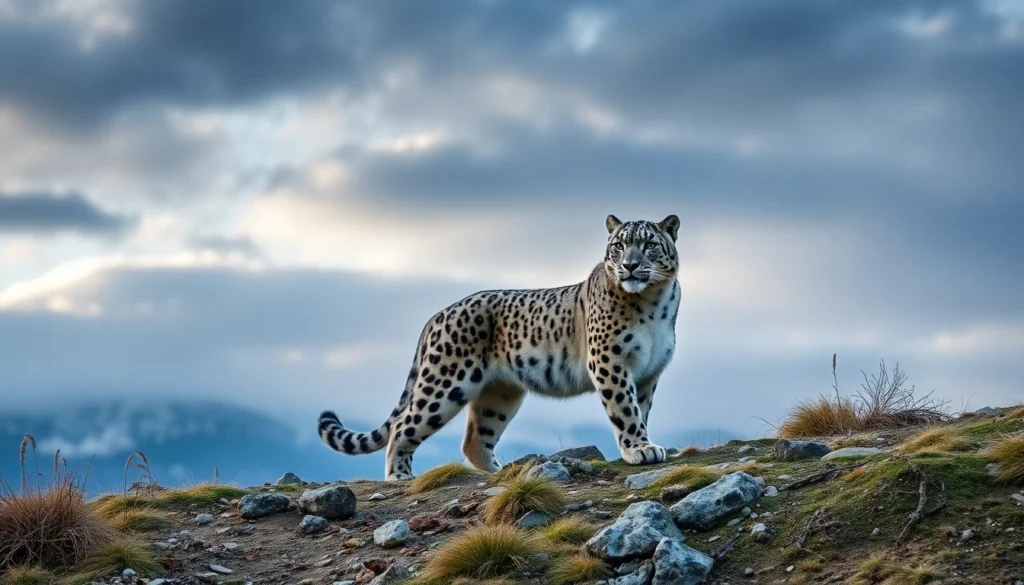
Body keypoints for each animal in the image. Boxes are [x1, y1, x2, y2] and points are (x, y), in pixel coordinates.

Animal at [317, 214, 682, 481]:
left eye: (649, 244)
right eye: (619, 246)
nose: (630, 265)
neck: (651, 302)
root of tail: (437, 315)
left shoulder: (648, 372)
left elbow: (641, 408)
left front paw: (644, 444)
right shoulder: (610, 362)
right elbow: (625, 409)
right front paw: (640, 449)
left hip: (500, 394)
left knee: (475, 439)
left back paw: (501, 472)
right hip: (444, 384)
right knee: (402, 427)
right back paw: (400, 477)